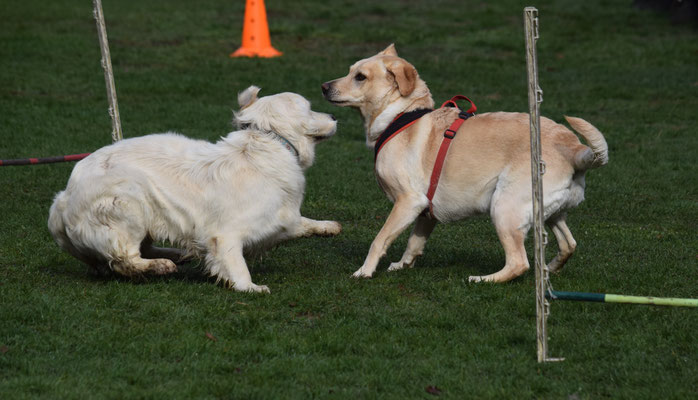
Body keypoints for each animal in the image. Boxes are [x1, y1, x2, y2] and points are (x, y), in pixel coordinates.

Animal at [47, 86, 342, 292]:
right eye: (310, 109)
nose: (334, 115)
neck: (267, 143)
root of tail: (63, 199)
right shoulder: (225, 235)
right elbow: (236, 265)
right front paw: (250, 287)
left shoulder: (283, 218)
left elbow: (303, 223)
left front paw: (328, 226)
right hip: (129, 197)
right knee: (125, 259)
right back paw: (160, 266)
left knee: (142, 249)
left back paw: (176, 255)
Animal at [320, 44, 604, 282]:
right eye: (350, 71)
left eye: (360, 77)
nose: (323, 86)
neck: (400, 116)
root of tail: (575, 148)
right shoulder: (425, 209)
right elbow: (414, 242)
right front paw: (402, 265)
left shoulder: (408, 201)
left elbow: (379, 239)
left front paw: (364, 271)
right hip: (549, 212)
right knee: (569, 244)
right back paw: (549, 268)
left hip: (504, 209)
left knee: (518, 262)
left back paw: (483, 279)